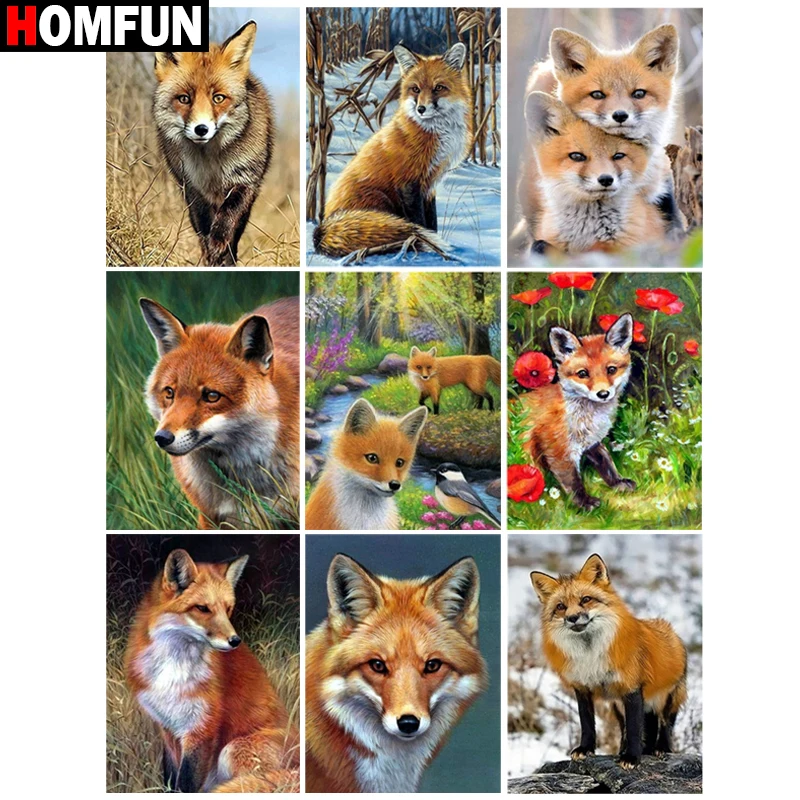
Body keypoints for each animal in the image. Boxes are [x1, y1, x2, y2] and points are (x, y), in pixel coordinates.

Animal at [125, 549, 299, 792]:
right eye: (203, 608)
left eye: (227, 609)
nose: (235, 640)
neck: (173, 672)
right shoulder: (168, 728)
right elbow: (170, 779)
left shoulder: (202, 728)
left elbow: (186, 784)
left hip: (233, 749)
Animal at [154, 21, 274, 266]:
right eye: (184, 98)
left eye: (218, 98)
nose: (201, 129)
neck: (211, 165)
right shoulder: (193, 188)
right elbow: (203, 227)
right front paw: (211, 253)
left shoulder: (245, 181)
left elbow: (228, 218)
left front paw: (220, 244)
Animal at [313, 43, 472, 260]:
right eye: (415, 89)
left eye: (438, 87)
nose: (421, 109)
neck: (435, 133)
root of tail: (323, 228)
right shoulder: (408, 182)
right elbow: (420, 222)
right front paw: (427, 245)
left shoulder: (429, 185)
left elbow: (432, 222)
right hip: (380, 200)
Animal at [520, 313, 636, 510]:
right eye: (583, 374)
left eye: (611, 369)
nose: (603, 394)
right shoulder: (558, 449)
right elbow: (573, 481)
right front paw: (584, 503)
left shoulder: (592, 442)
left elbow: (606, 463)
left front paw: (617, 482)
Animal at [530, 554, 687, 769]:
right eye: (561, 607)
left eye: (586, 600)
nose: (572, 618)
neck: (590, 655)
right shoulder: (582, 689)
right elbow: (587, 724)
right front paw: (585, 749)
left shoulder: (631, 688)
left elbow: (635, 729)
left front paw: (632, 758)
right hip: (618, 706)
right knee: (632, 729)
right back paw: (628, 750)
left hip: (667, 699)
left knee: (664, 725)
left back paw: (661, 749)